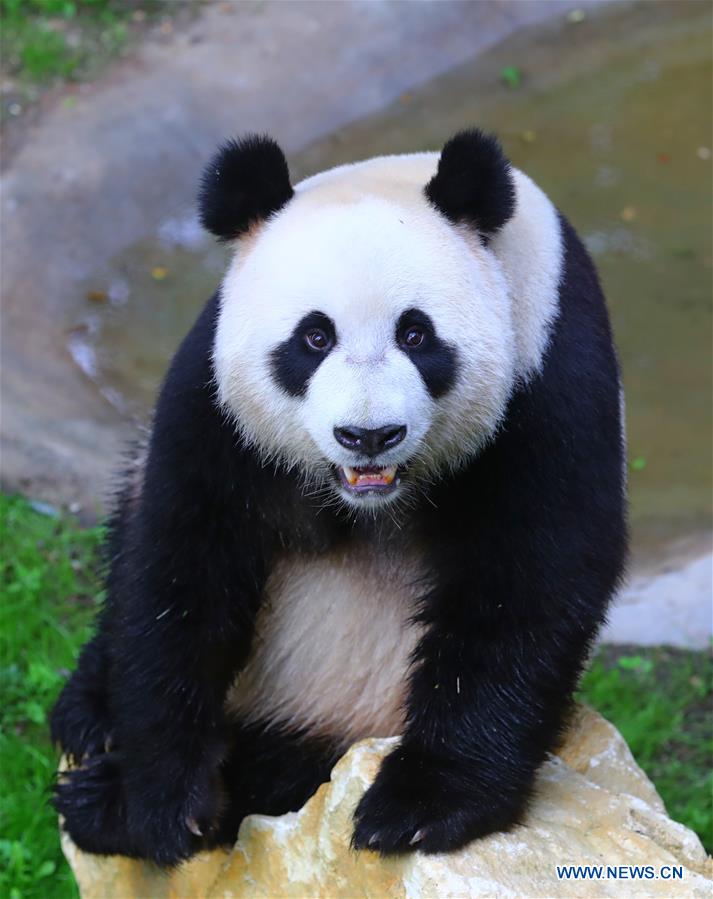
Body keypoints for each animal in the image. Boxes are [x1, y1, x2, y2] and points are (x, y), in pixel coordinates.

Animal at [51, 130, 624, 868]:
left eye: (416, 333)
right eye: (313, 337)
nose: (369, 435)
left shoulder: (549, 366)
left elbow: (529, 577)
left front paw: (421, 806)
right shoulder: (217, 395)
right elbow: (180, 565)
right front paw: (157, 804)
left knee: (291, 767)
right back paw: (90, 720)